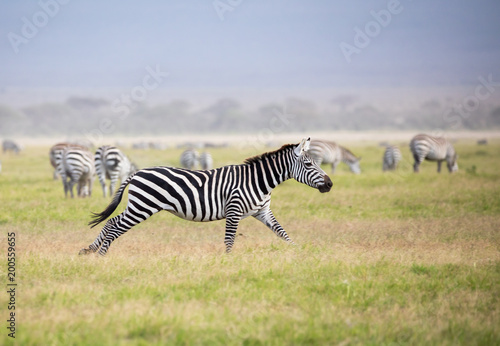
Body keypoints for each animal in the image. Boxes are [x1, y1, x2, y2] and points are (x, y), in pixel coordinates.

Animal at [79, 137, 332, 255]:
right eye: (309, 164)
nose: (330, 184)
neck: (259, 181)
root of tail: (137, 172)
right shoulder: (234, 209)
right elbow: (229, 240)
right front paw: (228, 262)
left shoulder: (263, 211)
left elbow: (283, 233)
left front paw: (298, 252)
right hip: (142, 207)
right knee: (115, 226)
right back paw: (101, 255)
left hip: (138, 206)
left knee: (111, 222)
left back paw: (90, 250)